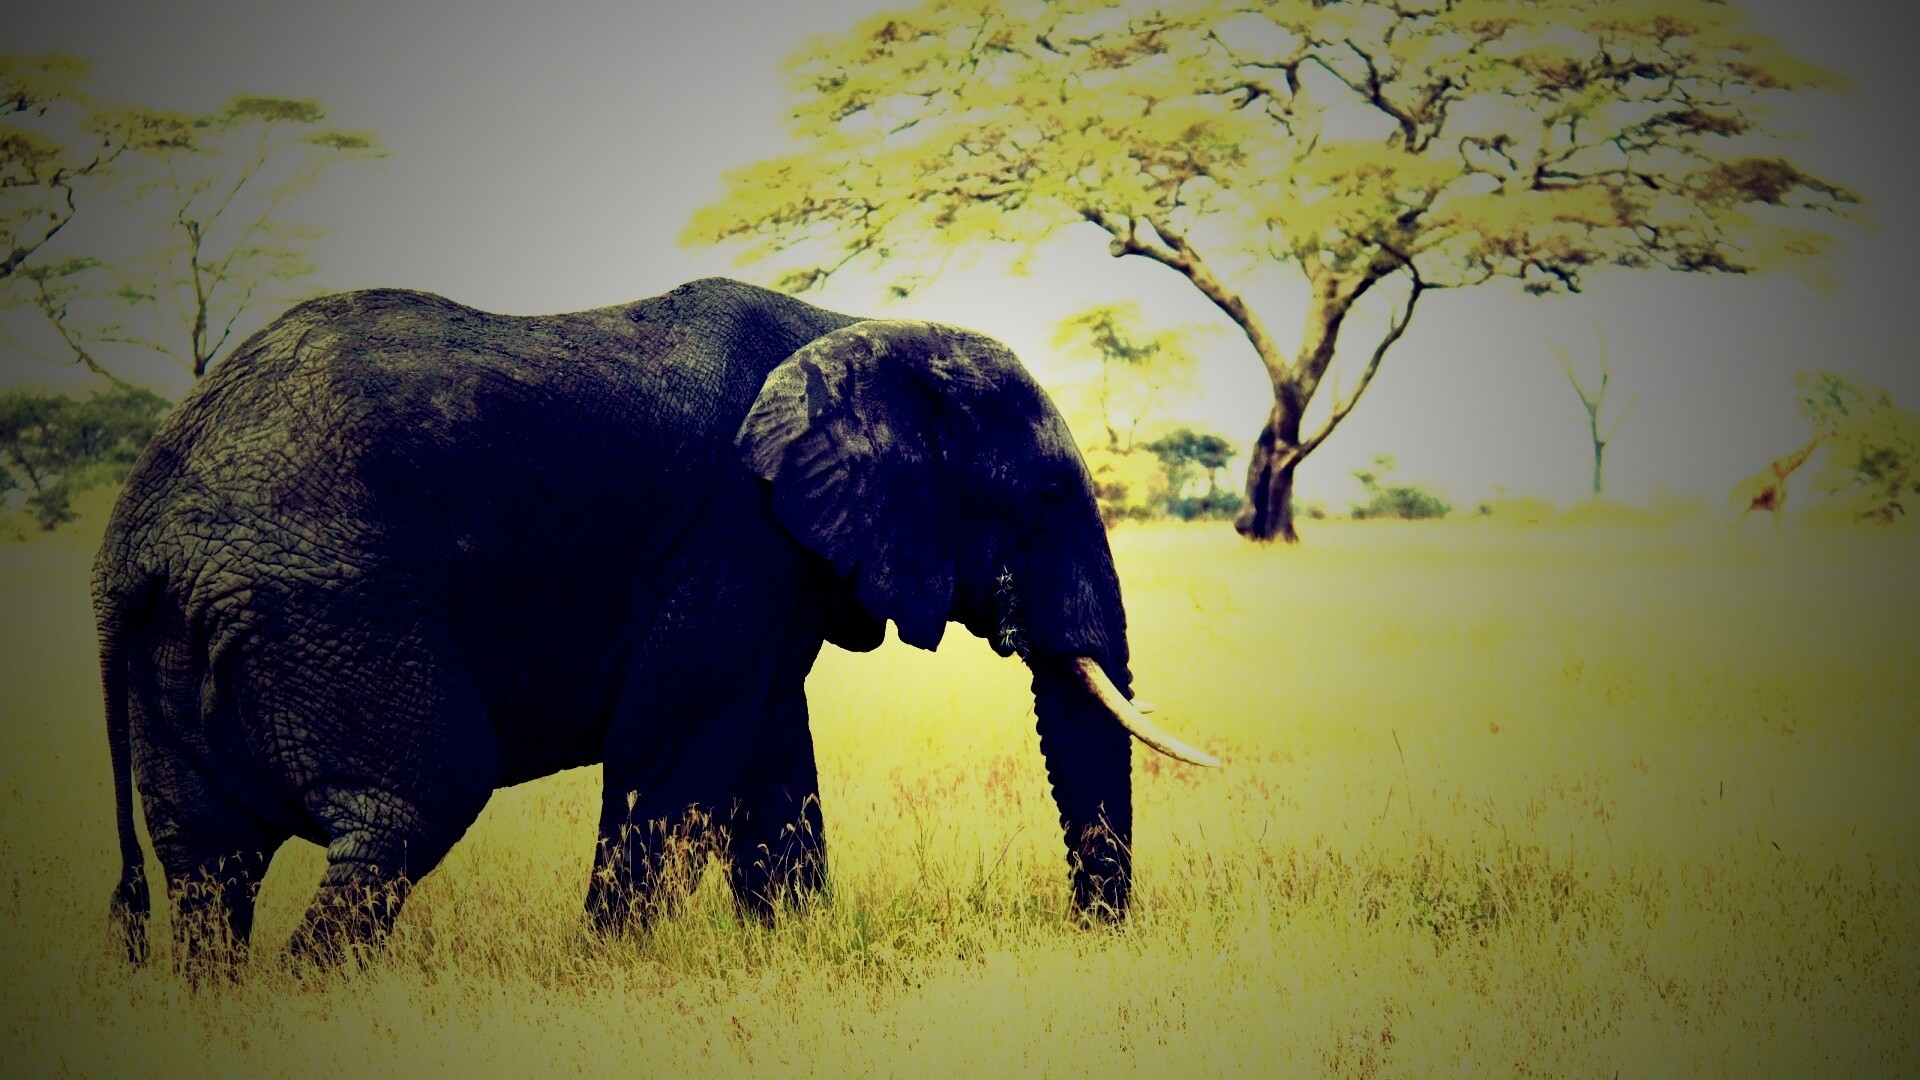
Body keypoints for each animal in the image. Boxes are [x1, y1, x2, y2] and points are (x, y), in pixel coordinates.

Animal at [92, 276, 1216, 974]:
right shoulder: (730, 526)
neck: (852, 324)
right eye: (1044, 499)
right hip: (330, 612)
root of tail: (131, 546)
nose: (1092, 935)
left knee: (208, 860)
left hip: (197, 640)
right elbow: (675, 748)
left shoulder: (772, 559)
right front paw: (612, 971)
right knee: (411, 804)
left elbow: (771, 756)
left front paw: (790, 953)